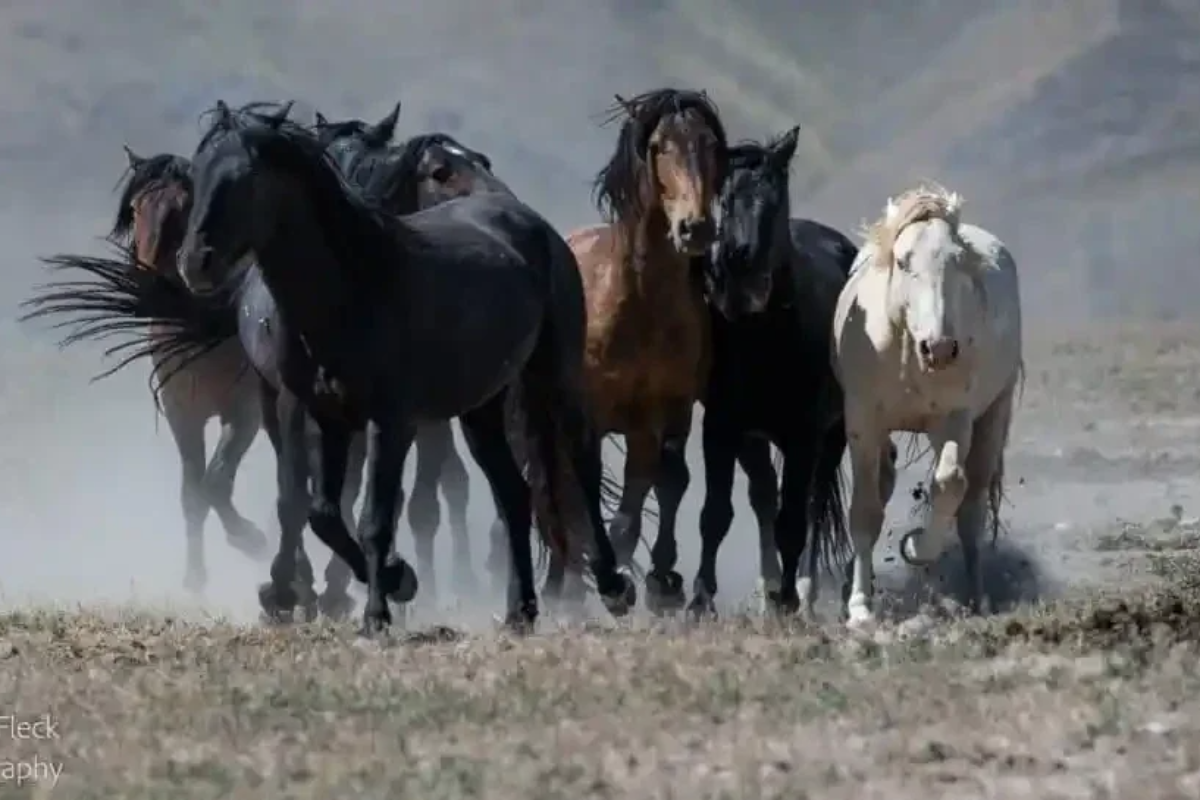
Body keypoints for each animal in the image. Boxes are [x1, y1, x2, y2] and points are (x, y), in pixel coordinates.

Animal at [109, 146, 271, 591]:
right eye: (136, 207)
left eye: (182, 208)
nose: (144, 280)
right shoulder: (183, 415)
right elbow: (193, 493)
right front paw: (194, 578)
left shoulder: (244, 413)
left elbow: (215, 482)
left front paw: (251, 540)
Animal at [175, 104, 635, 634]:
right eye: (197, 173)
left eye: (245, 179)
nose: (194, 262)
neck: (353, 289)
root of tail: (532, 223)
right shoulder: (323, 416)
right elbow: (323, 512)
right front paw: (396, 580)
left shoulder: (390, 421)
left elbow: (375, 518)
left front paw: (377, 612)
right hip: (481, 408)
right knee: (514, 493)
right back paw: (520, 610)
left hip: (555, 376)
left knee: (580, 461)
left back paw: (614, 585)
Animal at [552, 87, 726, 615]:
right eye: (658, 146)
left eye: (711, 144)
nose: (695, 228)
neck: (639, 303)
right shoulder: (588, 415)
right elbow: (582, 491)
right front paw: (597, 581)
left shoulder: (658, 415)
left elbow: (650, 495)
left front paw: (646, 583)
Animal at [691, 127, 858, 618]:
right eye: (723, 197)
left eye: (774, 198)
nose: (738, 260)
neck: (762, 336)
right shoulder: (723, 427)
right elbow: (716, 514)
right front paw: (699, 599)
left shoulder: (804, 435)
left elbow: (793, 520)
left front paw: (789, 598)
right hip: (755, 436)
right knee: (764, 495)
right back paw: (768, 590)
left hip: (834, 432)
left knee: (812, 501)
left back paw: (802, 591)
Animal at [832, 184, 1022, 626]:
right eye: (903, 263)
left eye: (958, 262)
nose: (939, 348)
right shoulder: (863, 422)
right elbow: (864, 509)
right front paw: (860, 607)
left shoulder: (953, 419)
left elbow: (949, 484)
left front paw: (916, 547)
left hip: (993, 416)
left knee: (971, 510)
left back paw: (977, 596)